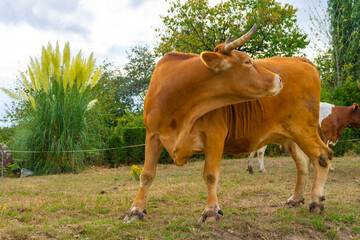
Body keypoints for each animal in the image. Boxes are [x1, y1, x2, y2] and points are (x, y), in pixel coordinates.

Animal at [125, 24, 334, 223]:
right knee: (303, 164)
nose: (279, 79)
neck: (176, 98)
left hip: (303, 129)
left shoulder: (214, 136)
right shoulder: (152, 136)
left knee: (322, 156)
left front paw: (210, 211)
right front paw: (136, 209)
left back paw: (316, 201)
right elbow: (147, 174)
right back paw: (295, 199)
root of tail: (300, 60)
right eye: (248, 62)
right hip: (291, 135)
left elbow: (210, 175)